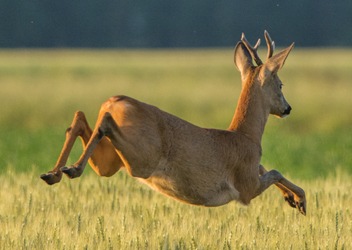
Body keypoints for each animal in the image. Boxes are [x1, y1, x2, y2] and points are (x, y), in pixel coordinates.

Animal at [40, 31, 306, 215]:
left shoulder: (252, 176)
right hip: (142, 158)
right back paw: (71, 169)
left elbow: (268, 168)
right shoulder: (246, 187)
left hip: (111, 162)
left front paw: (295, 199)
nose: (288, 108)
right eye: (281, 84)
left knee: (80, 119)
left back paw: (55, 172)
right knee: (103, 123)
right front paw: (301, 200)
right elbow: (274, 170)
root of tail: (113, 102)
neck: (246, 135)